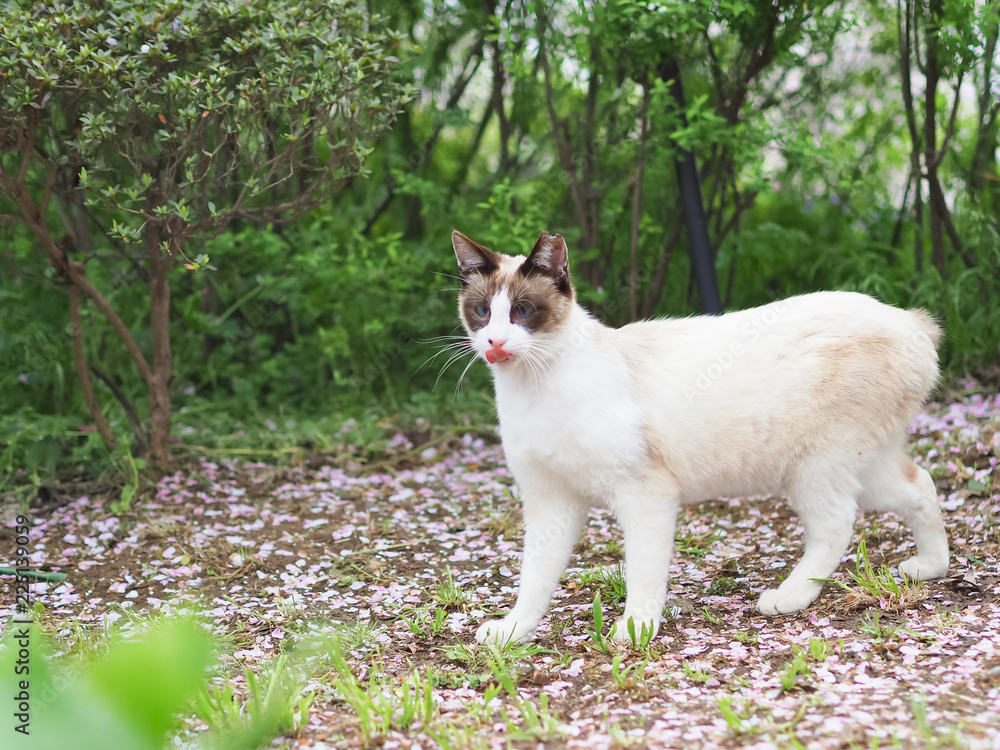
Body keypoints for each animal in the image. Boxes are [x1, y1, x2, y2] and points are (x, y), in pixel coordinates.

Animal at [456, 231, 952, 648]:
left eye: (522, 311)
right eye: (482, 312)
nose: (495, 342)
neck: (533, 387)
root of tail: (910, 320)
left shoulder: (645, 497)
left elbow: (643, 574)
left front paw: (635, 629)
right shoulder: (551, 505)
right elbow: (535, 578)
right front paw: (514, 630)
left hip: (815, 468)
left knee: (836, 526)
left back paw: (790, 596)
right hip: (865, 466)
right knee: (920, 485)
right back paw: (930, 567)